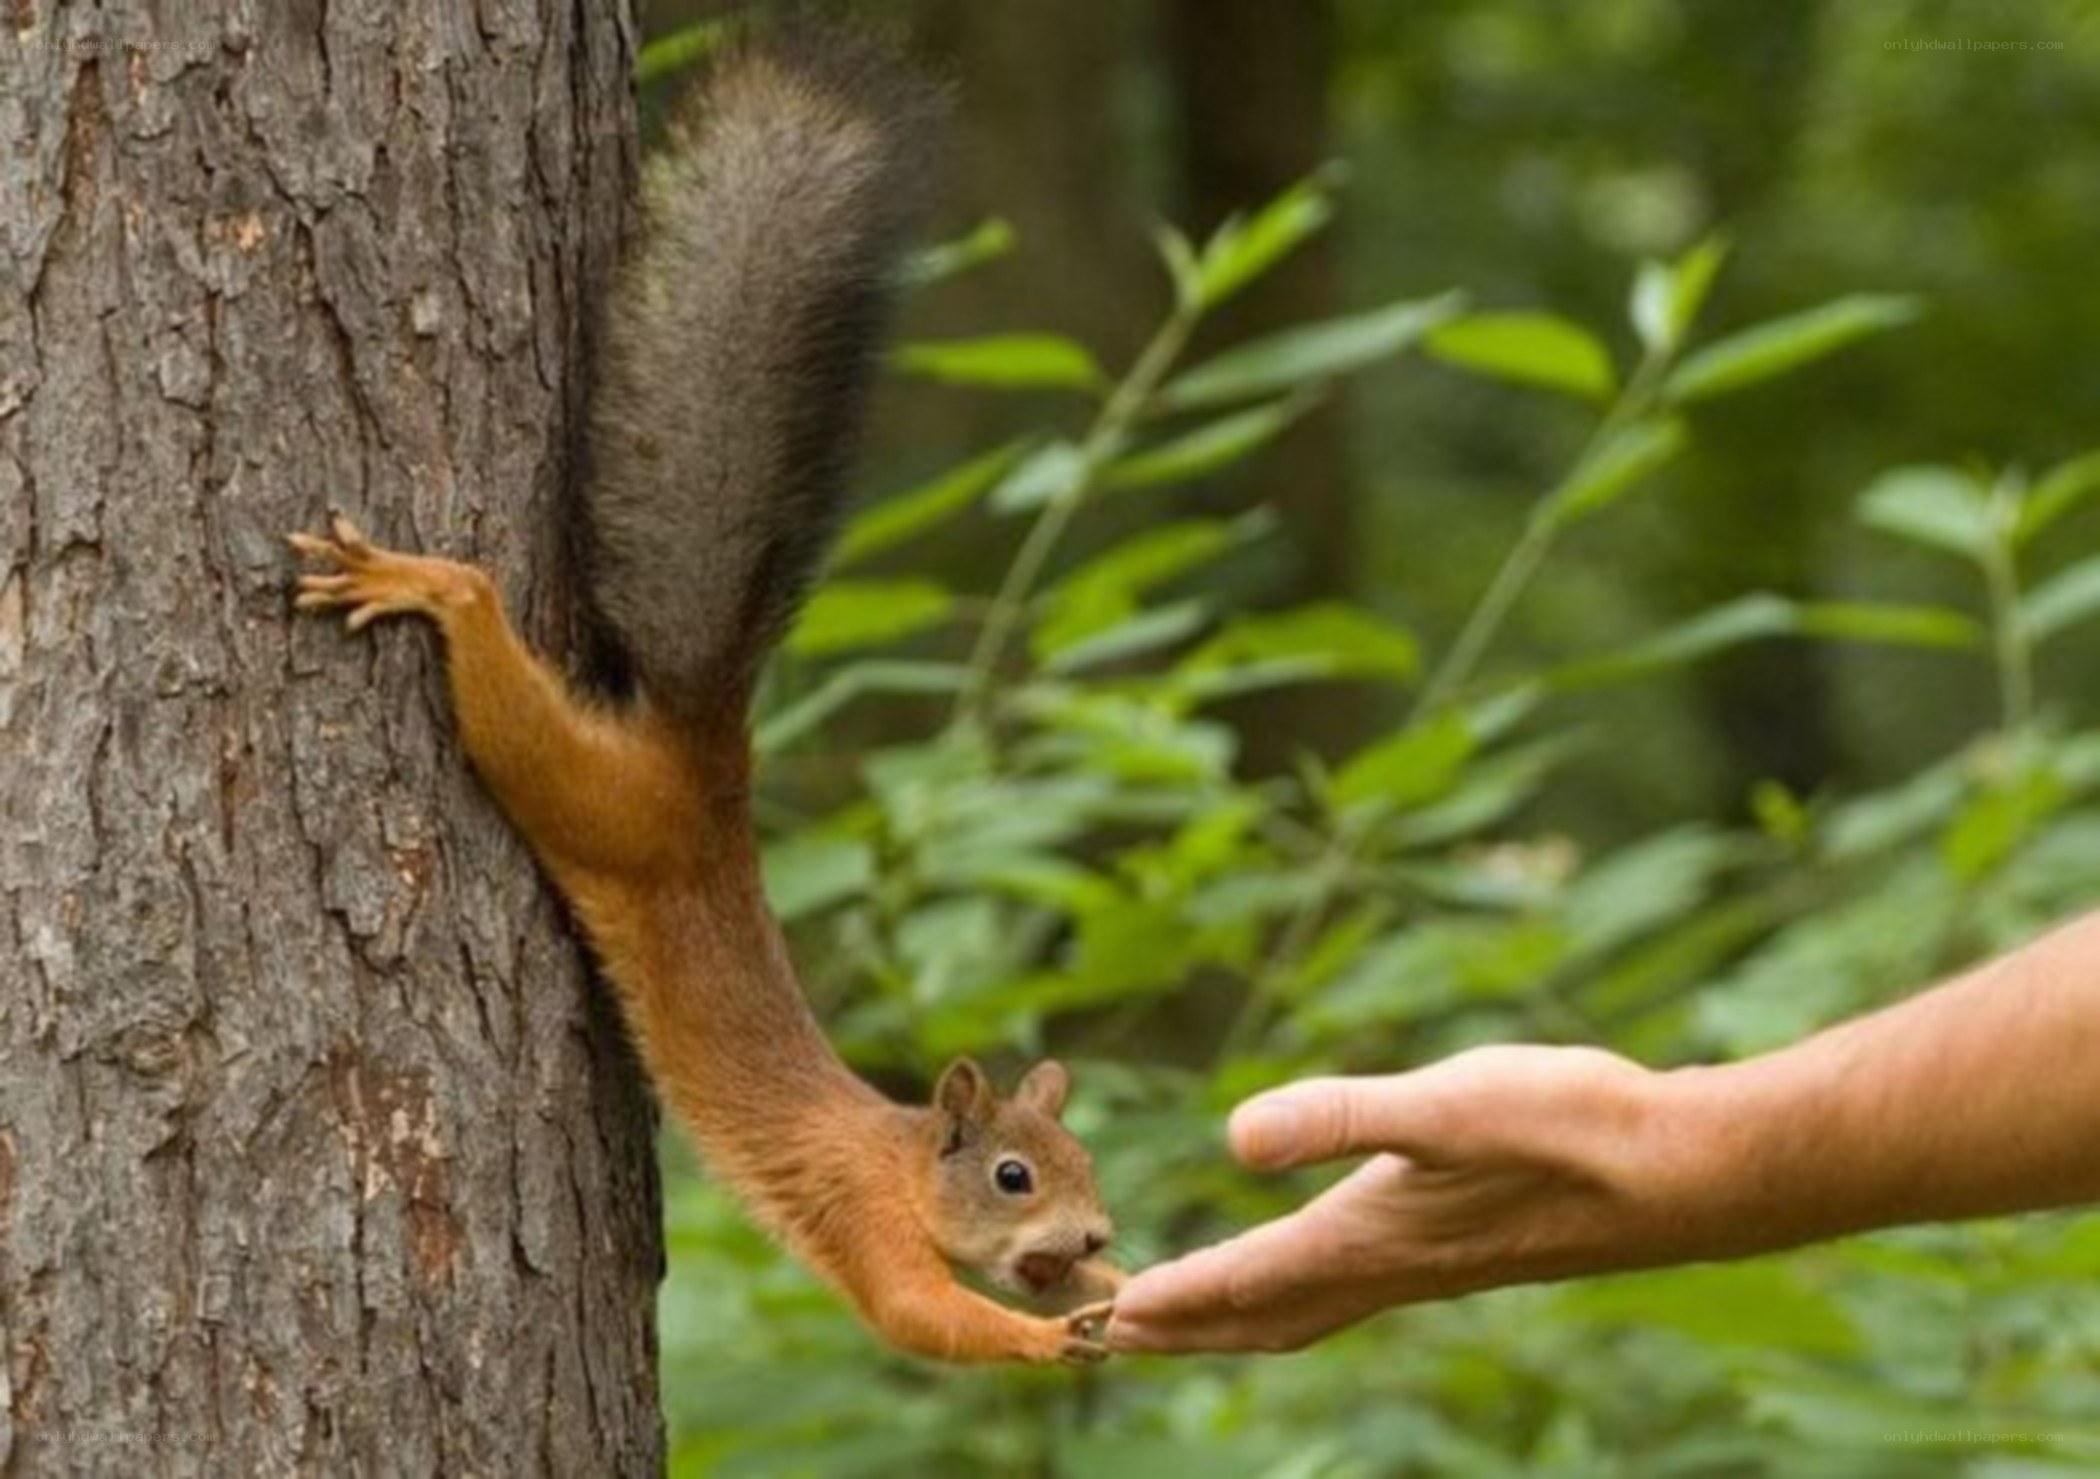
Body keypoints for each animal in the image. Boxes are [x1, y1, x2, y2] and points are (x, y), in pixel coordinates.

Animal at [288, 26, 1120, 1365]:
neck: (903, 1164)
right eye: (1013, 1175)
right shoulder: (855, 1217)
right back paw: (428, 582)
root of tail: (704, 751)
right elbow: (917, 1317)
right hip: (588, 798)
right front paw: (1049, 1339)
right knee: (495, 652)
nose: (1093, 1239)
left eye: (1084, 1160)